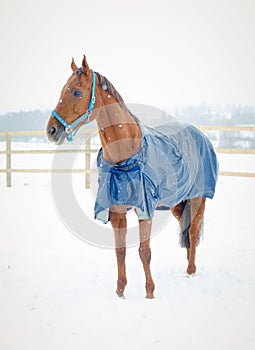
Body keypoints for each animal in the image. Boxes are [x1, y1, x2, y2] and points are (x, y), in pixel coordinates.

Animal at [45, 55, 217, 298]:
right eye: (62, 90)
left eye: (76, 92)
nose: (51, 131)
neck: (126, 155)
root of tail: (199, 134)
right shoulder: (117, 211)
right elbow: (120, 251)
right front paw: (120, 292)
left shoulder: (145, 210)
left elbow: (145, 252)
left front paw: (150, 293)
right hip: (176, 203)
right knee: (186, 230)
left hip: (198, 197)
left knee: (192, 232)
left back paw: (191, 271)